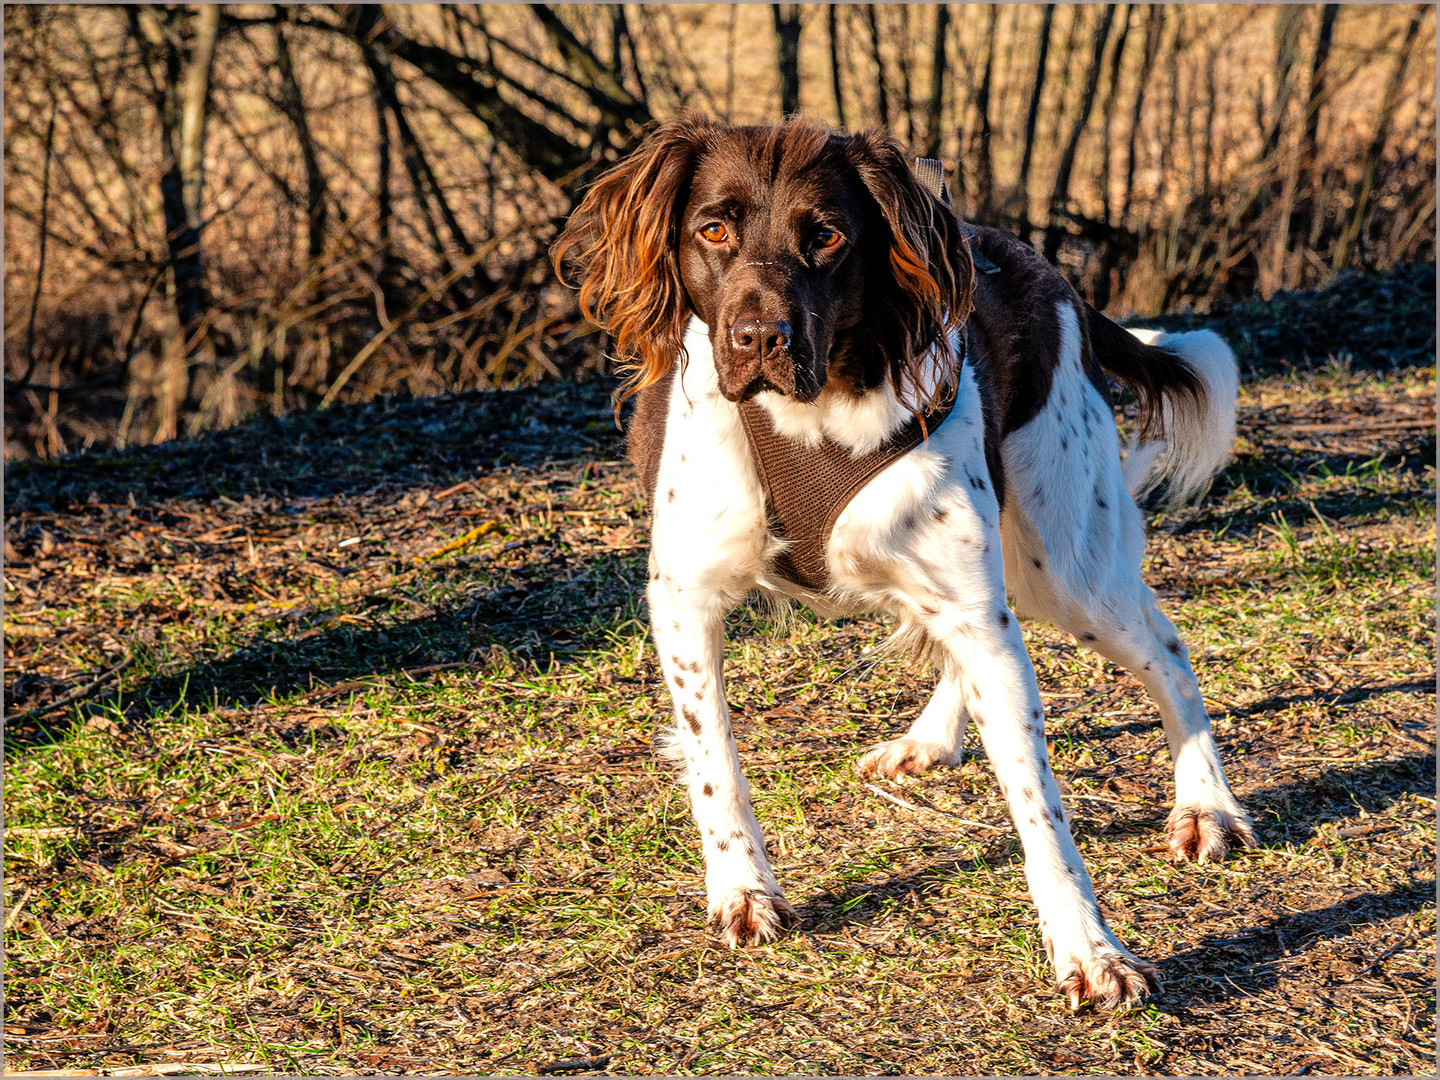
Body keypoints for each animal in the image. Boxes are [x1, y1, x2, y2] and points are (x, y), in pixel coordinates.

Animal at [555, 120, 1255, 1013]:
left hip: (1068, 567)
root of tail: (1043, 266)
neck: (808, 414)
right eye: (711, 229)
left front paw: (1090, 949)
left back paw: (1206, 804)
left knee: (1163, 647)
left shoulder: (972, 603)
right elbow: (716, 761)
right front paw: (743, 889)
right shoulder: (685, 596)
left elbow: (1039, 807)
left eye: (827, 237)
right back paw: (931, 740)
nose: (759, 340)